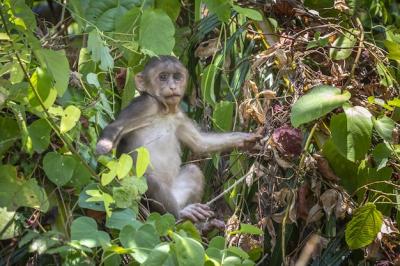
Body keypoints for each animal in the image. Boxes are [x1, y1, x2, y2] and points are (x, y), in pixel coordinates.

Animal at [97, 56, 260, 222]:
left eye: (176, 77)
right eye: (163, 77)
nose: (173, 86)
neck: (164, 111)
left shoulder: (179, 116)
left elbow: (200, 143)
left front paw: (246, 140)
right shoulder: (145, 105)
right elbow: (115, 127)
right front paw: (103, 146)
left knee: (193, 170)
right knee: (151, 181)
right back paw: (179, 215)